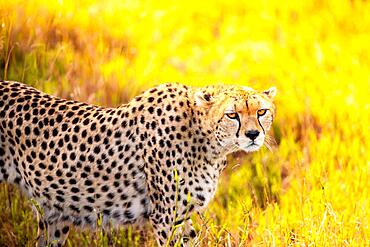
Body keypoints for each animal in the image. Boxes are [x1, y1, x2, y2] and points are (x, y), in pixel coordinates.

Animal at [0, 80, 276, 245]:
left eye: (261, 112)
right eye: (232, 115)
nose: (253, 134)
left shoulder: (183, 217)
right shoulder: (166, 218)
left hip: (55, 216)